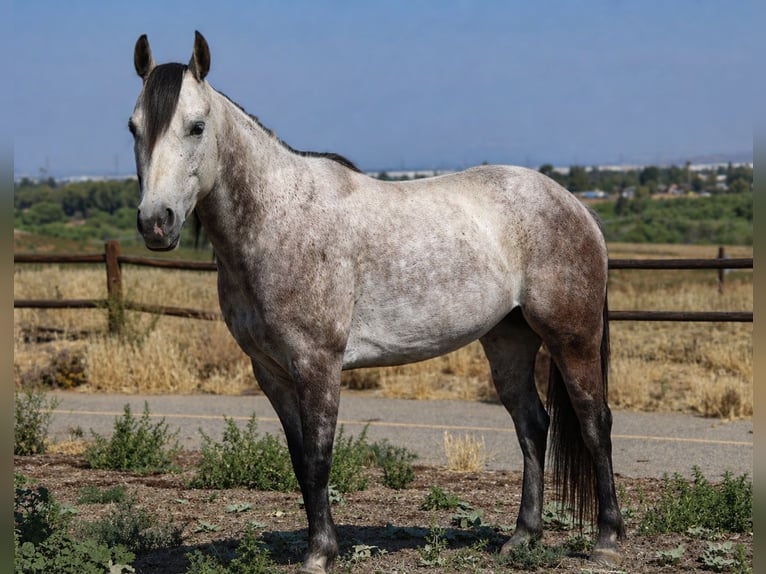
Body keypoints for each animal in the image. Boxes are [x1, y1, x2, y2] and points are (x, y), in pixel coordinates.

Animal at [129, 31, 624, 573]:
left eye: (196, 127)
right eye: (133, 127)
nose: (156, 222)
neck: (278, 221)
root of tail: (576, 206)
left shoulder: (318, 363)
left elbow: (320, 456)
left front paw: (320, 554)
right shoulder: (272, 372)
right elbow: (300, 460)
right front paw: (320, 545)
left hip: (572, 339)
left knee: (595, 423)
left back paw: (607, 538)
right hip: (508, 340)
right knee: (533, 427)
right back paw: (523, 536)